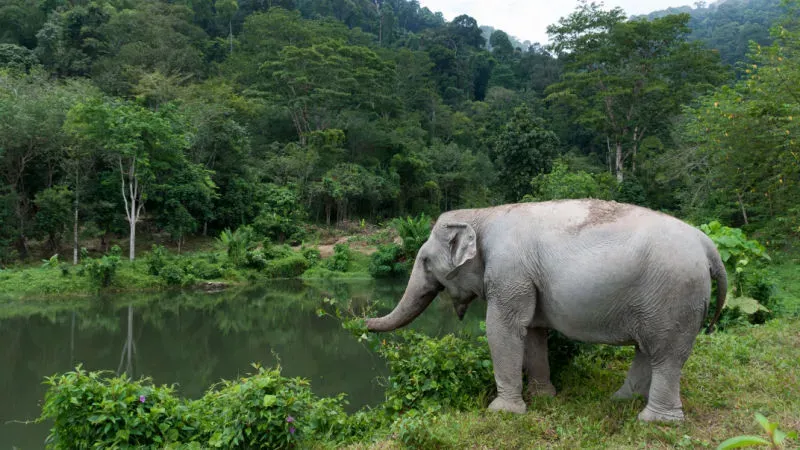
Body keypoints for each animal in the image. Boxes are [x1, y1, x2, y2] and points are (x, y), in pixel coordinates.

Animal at [366, 200, 728, 422]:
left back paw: (655, 421)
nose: (364, 321)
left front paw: (502, 412)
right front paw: (544, 398)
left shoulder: (510, 271)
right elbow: (532, 332)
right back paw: (622, 400)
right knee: (646, 349)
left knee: (666, 354)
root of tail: (708, 245)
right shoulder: (527, 280)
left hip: (675, 294)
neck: (485, 214)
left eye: (425, 261)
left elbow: (503, 328)